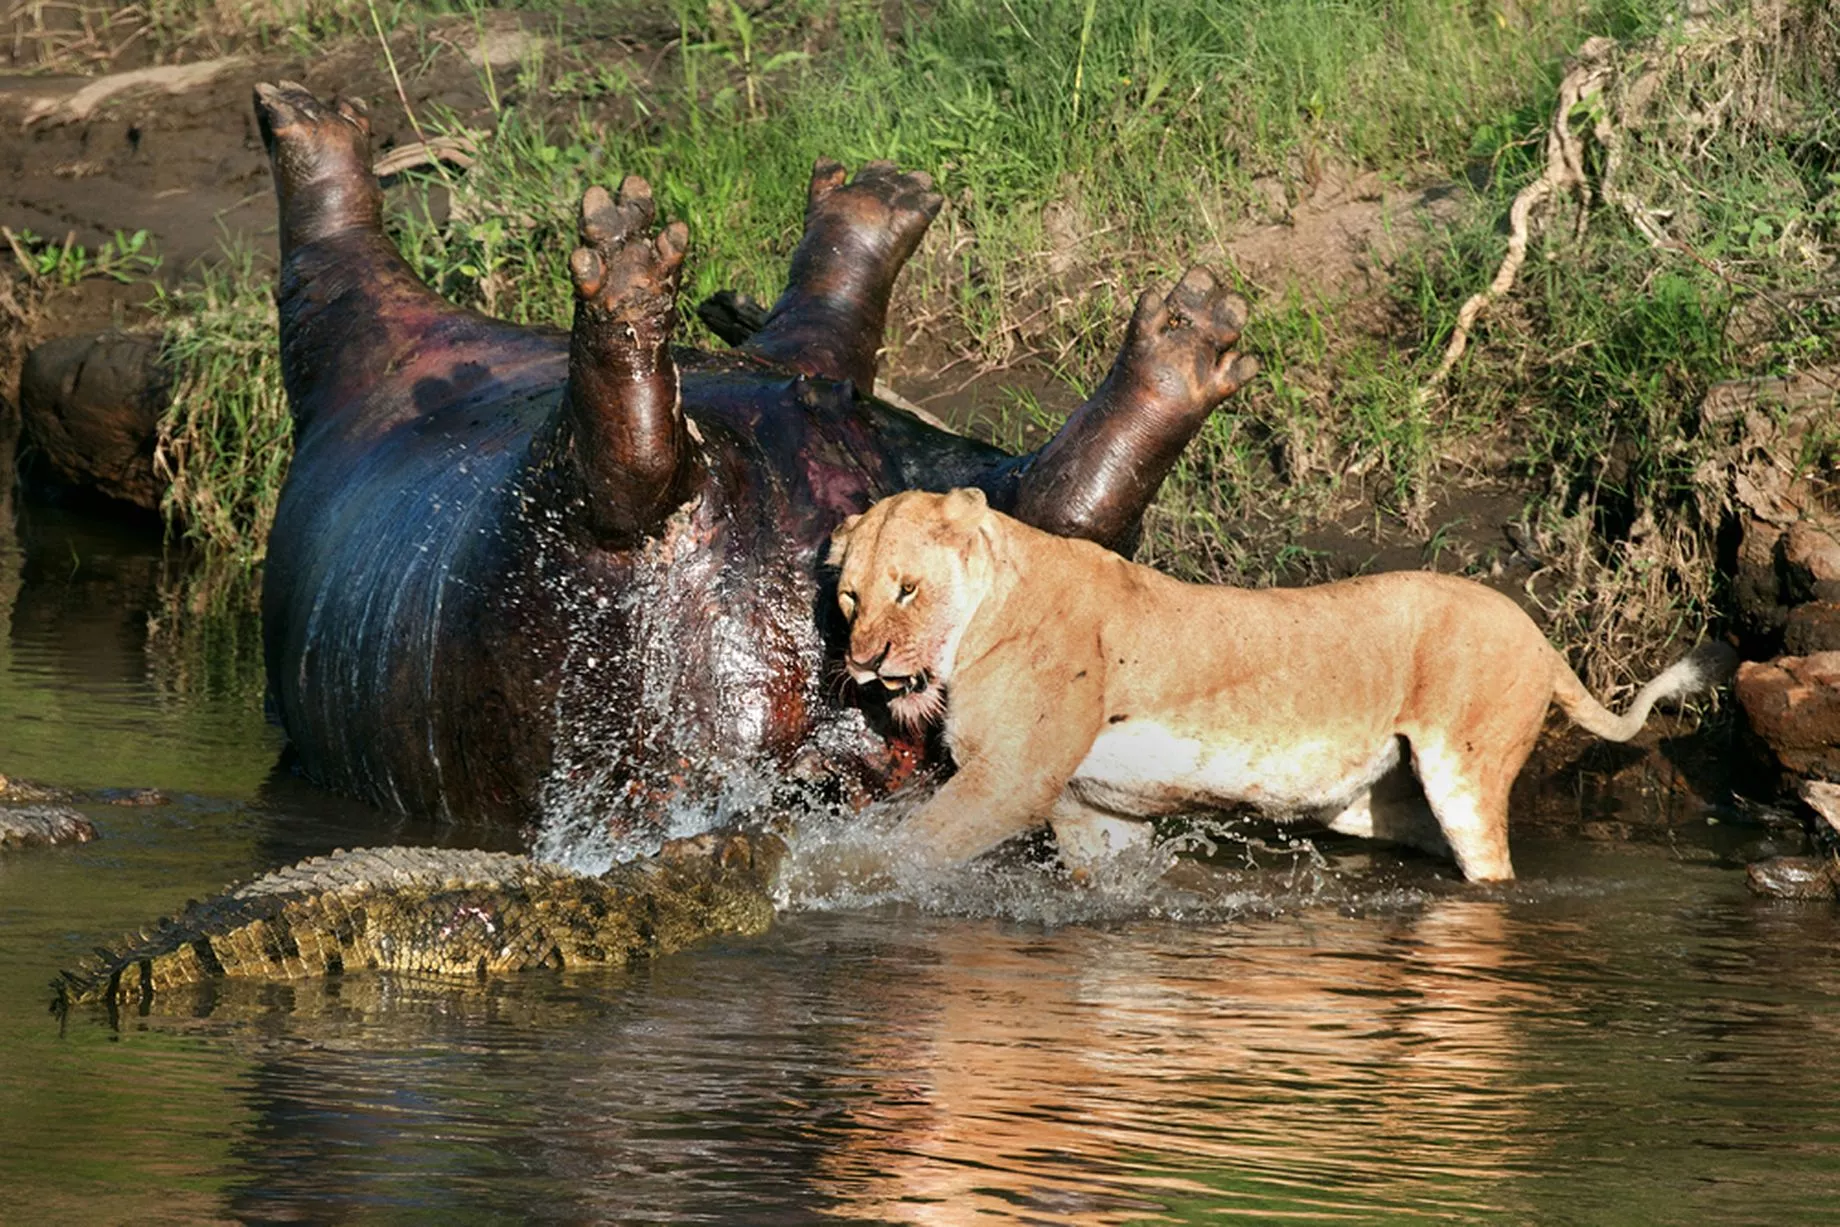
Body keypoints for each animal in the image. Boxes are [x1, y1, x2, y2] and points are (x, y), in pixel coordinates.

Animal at [827, 488, 1736, 882]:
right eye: (849, 598)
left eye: (906, 589)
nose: (864, 662)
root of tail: (1539, 634)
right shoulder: (1094, 812)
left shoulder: (1009, 780)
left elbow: (905, 849)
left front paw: (823, 881)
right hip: (1366, 803)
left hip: (1464, 771)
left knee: (1493, 869)